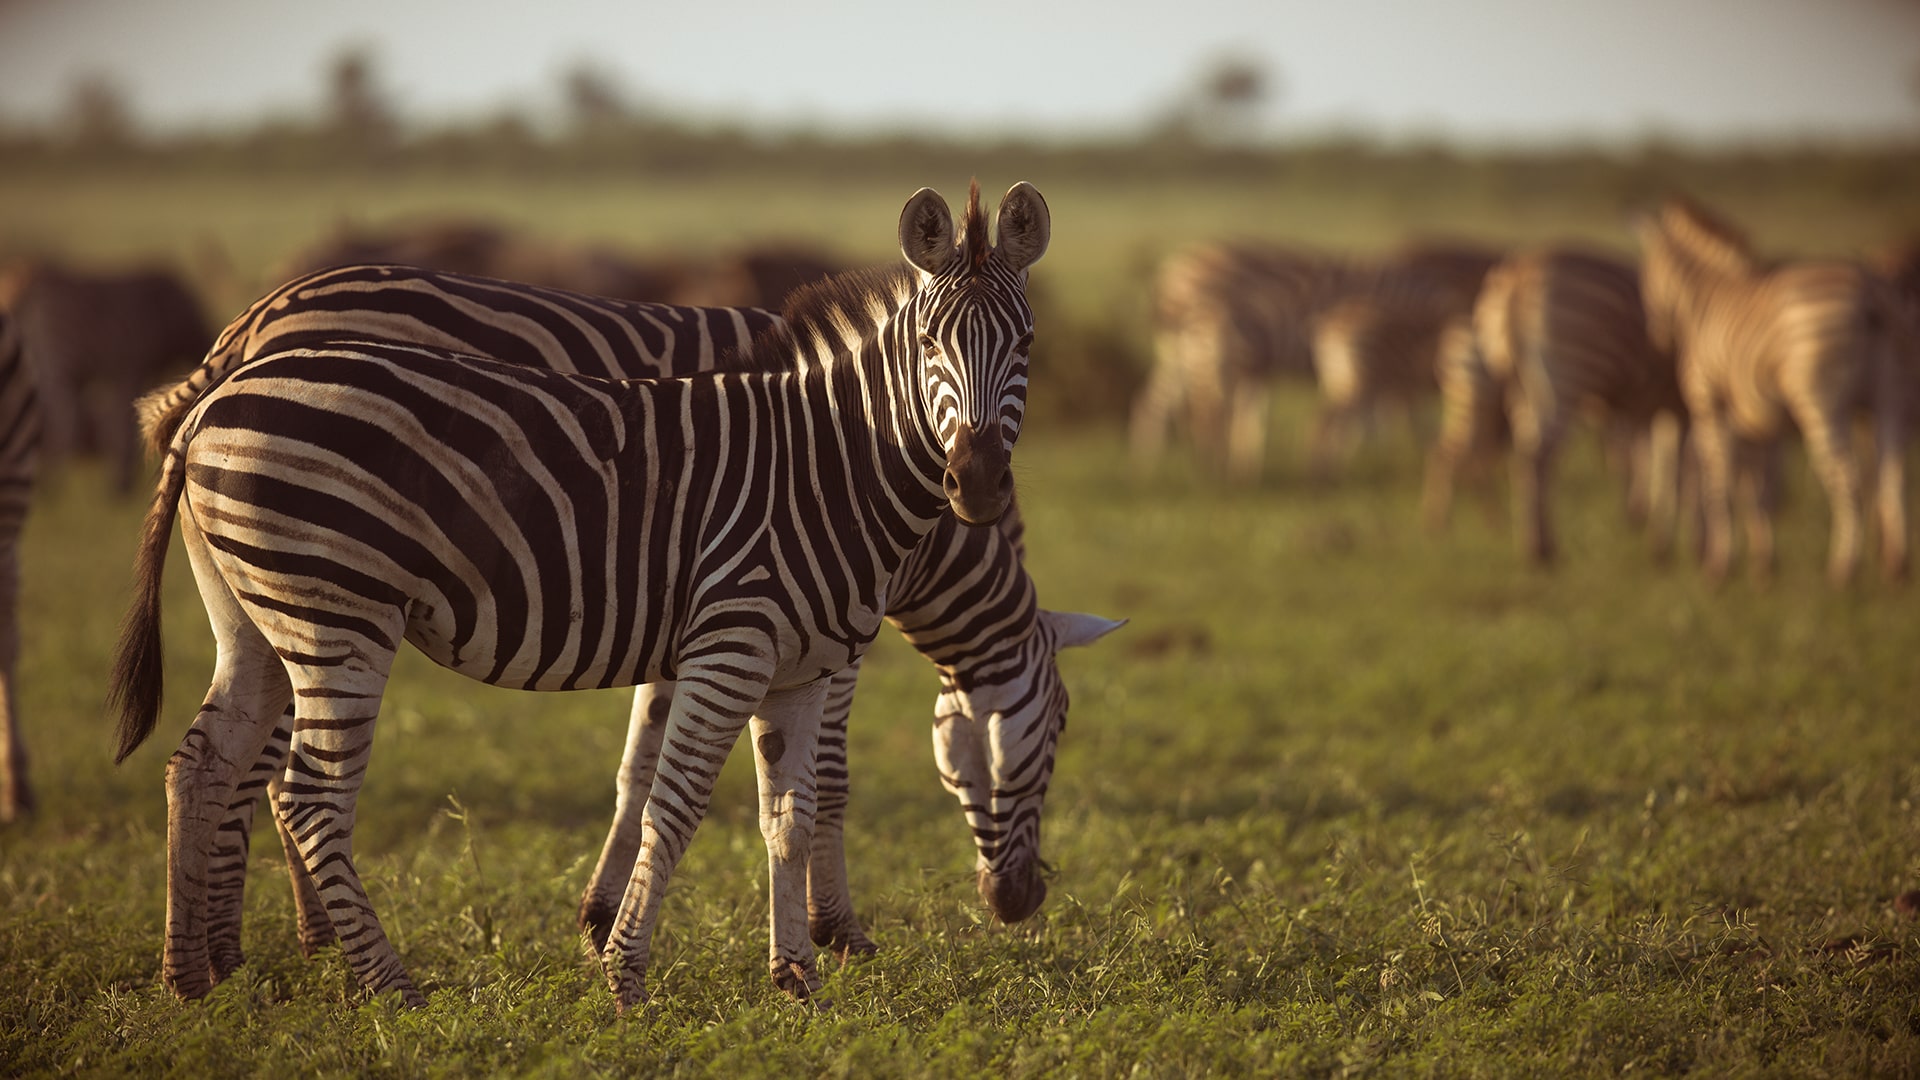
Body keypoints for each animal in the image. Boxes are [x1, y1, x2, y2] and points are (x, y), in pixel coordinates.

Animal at [112, 178, 1059, 1006]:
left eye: (1026, 348)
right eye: (930, 347)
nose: (977, 483)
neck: (835, 461)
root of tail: (222, 383)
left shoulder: (794, 664)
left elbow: (775, 814)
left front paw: (792, 976)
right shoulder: (735, 645)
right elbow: (691, 804)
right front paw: (635, 972)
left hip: (257, 617)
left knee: (202, 765)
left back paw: (196, 976)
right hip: (338, 616)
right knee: (306, 797)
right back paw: (384, 982)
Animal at [1128, 244, 1489, 484]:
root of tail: (1172, 271)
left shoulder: (1382, 369)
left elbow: (1380, 418)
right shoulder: (1383, 363)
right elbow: (1392, 417)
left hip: (1183, 352)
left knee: (1161, 403)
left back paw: (1155, 465)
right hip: (1200, 353)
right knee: (1195, 407)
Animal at [1420, 245, 1689, 564]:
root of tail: (1515, 277)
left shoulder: (1661, 409)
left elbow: (1655, 463)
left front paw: (1652, 530)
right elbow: (1676, 470)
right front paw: (1672, 542)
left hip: (1510, 395)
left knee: (1472, 455)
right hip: (1553, 380)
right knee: (1521, 456)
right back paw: (1535, 548)